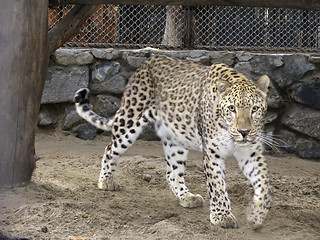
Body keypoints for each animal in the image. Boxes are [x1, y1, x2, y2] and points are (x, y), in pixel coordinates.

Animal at [74, 54, 272, 229]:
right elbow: (217, 186)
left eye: (255, 109)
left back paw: (186, 197)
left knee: (172, 172)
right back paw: (106, 181)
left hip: (176, 137)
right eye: (232, 108)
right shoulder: (212, 153)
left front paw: (257, 214)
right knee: (110, 149)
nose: (244, 132)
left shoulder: (251, 153)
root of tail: (148, 61)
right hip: (130, 120)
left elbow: (263, 184)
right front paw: (222, 216)